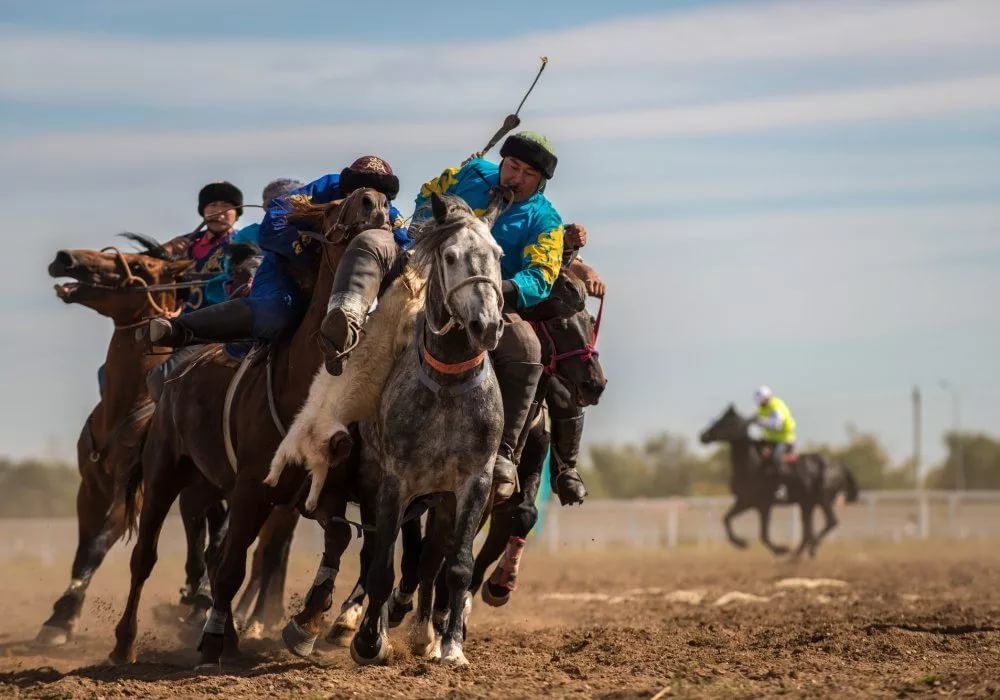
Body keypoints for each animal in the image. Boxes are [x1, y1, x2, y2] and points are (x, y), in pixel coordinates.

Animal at [38, 239, 204, 644]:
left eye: (140, 266)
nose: (66, 259)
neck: (127, 405)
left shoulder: (131, 491)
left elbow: (99, 545)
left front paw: (63, 615)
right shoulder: (91, 486)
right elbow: (84, 549)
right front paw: (61, 617)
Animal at [107, 187, 388, 668]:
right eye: (336, 205)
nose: (373, 199)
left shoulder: (320, 489)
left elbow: (334, 538)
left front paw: (306, 624)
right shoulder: (253, 488)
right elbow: (231, 566)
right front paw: (212, 641)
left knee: (216, 554)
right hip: (165, 471)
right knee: (146, 555)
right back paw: (125, 642)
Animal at [700, 404, 856, 556]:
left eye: (727, 422)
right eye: (719, 418)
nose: (703, 436)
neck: (752, 464)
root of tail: (840, 466)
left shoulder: (764, 504)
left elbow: (763, 535)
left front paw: (781, 549)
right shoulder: (745, 501)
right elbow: (726, 519)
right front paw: (741, 543)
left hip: (823, 498)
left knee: (830, 522)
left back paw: (811, 547)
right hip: (808, 503)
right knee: (807, 531)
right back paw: (796, 556)